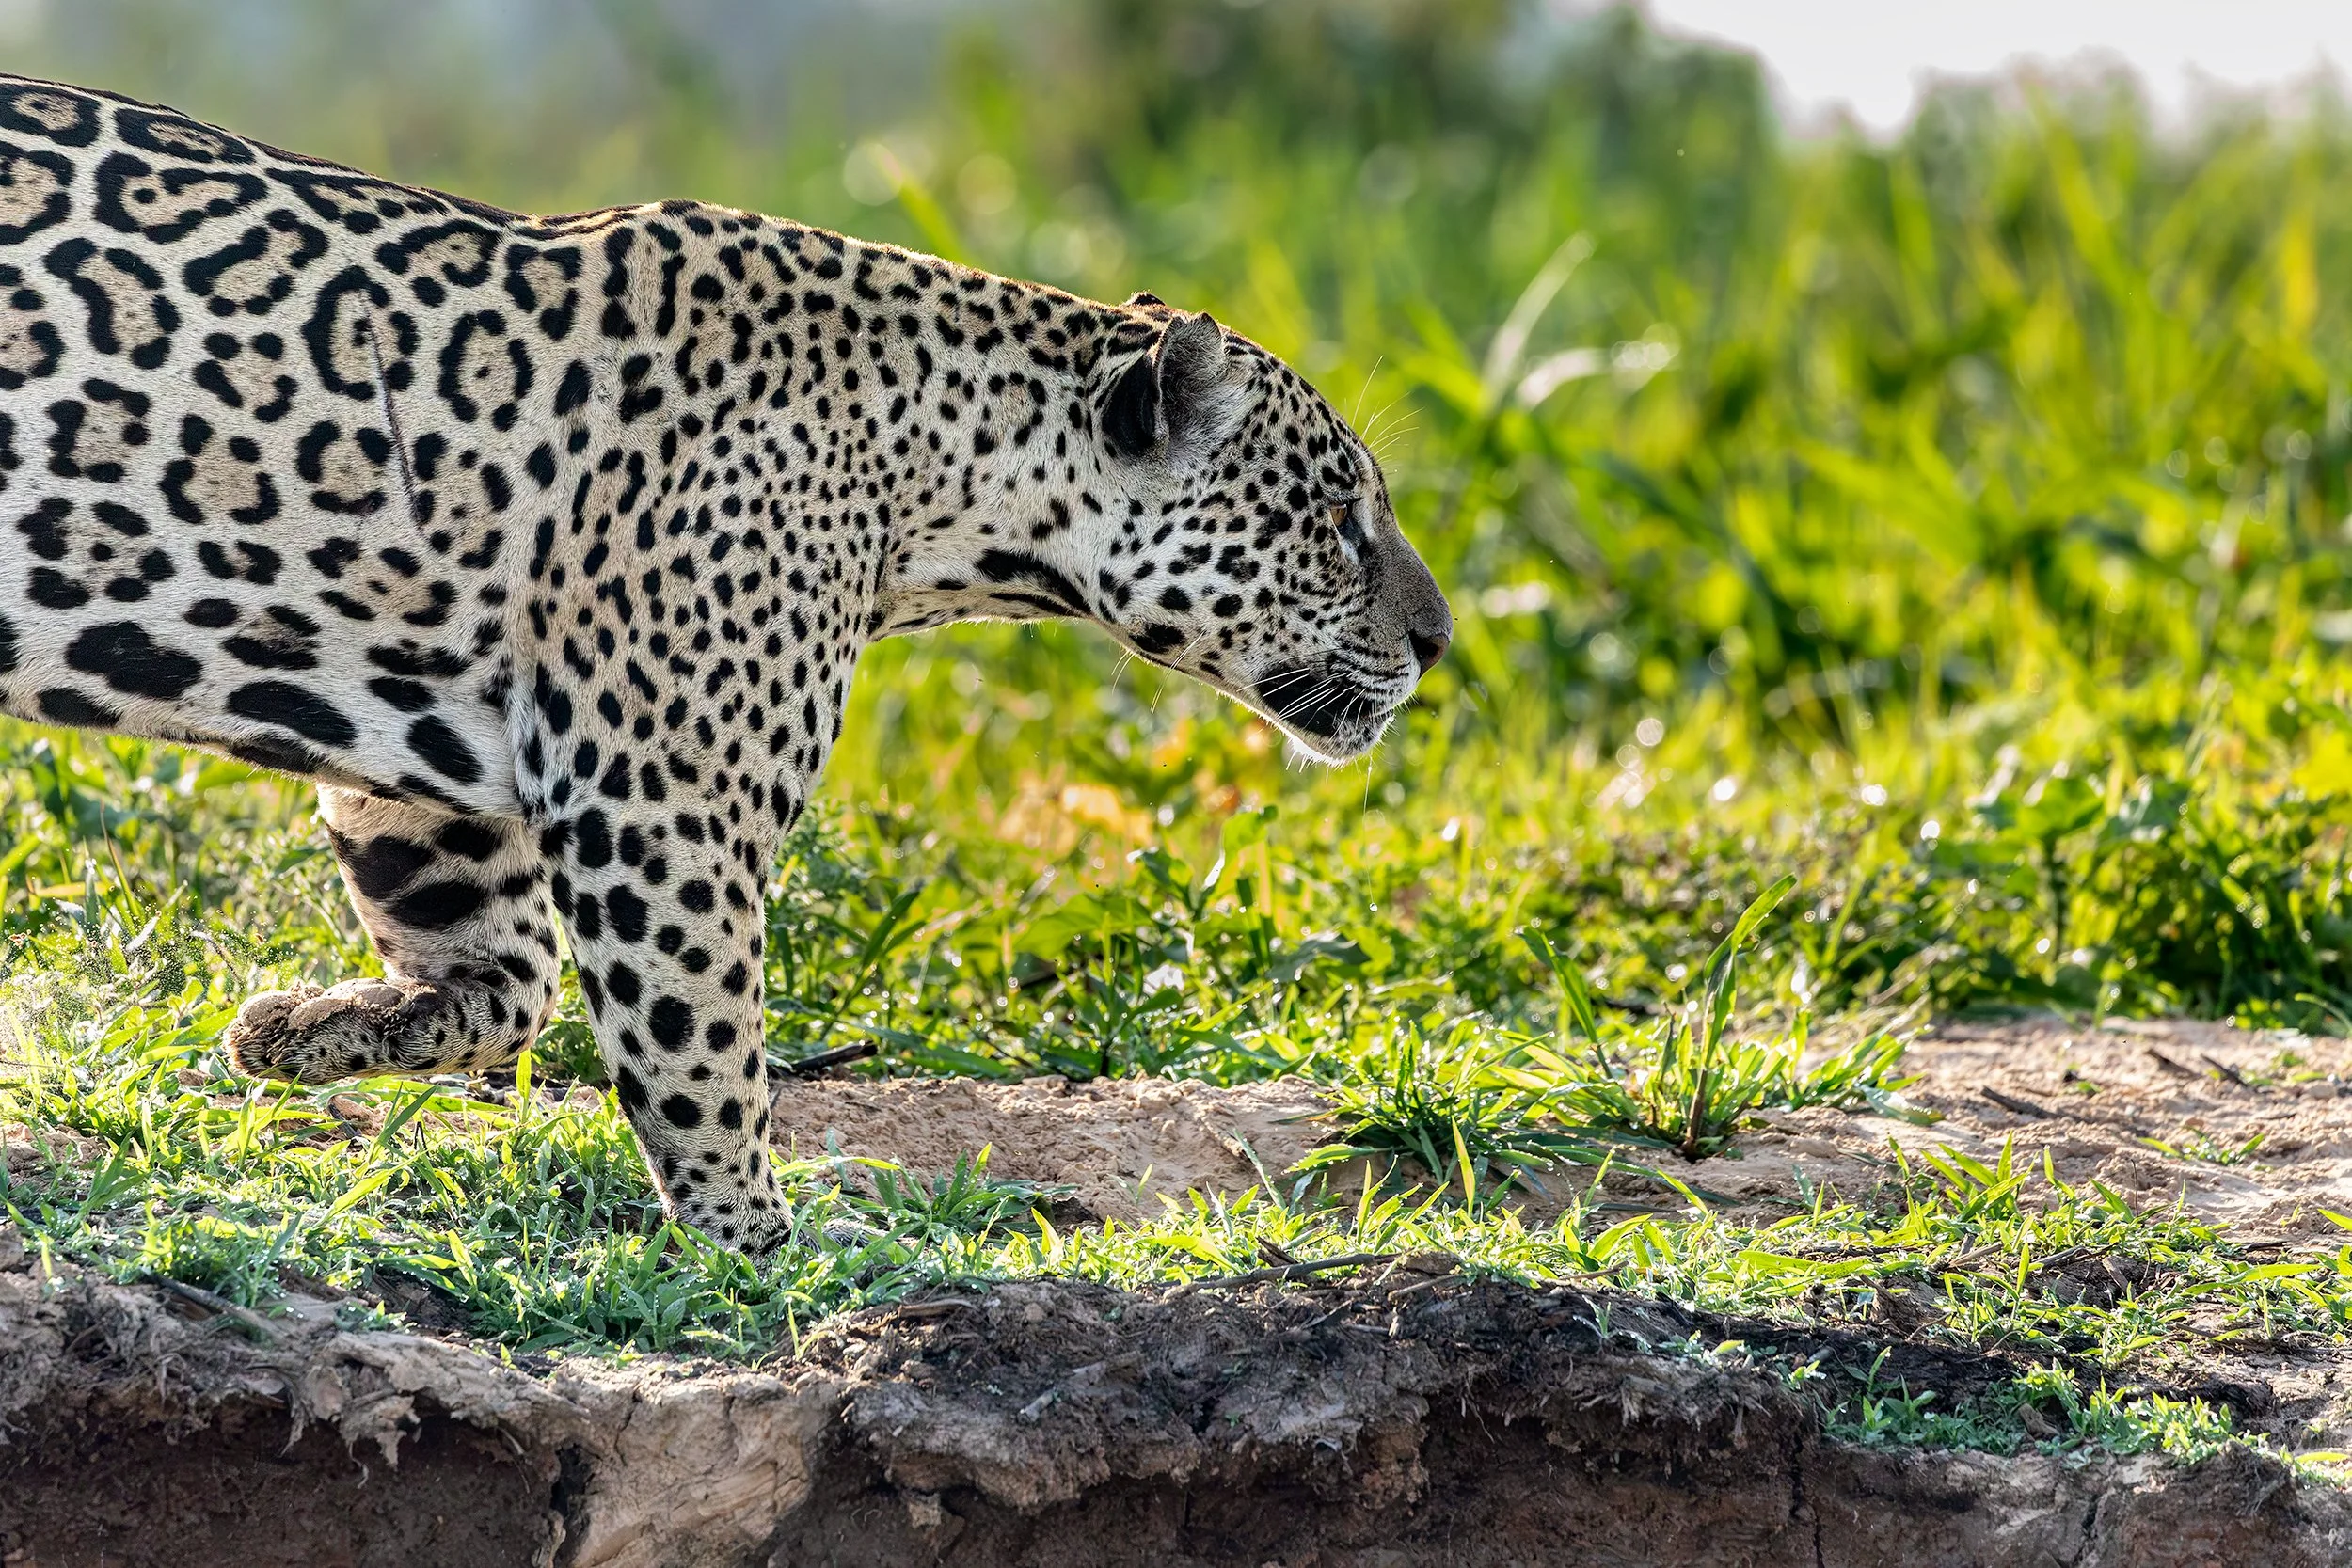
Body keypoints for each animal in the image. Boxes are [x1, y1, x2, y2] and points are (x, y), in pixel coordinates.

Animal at [0, 74, 1452, 1251]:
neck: (939, 482)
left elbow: (507, 979)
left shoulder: (439, 757)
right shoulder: (664, 799)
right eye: (1338, 517)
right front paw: (766, 1237)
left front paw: (305, 1030)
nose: (1439, 640)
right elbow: (700, 1039)